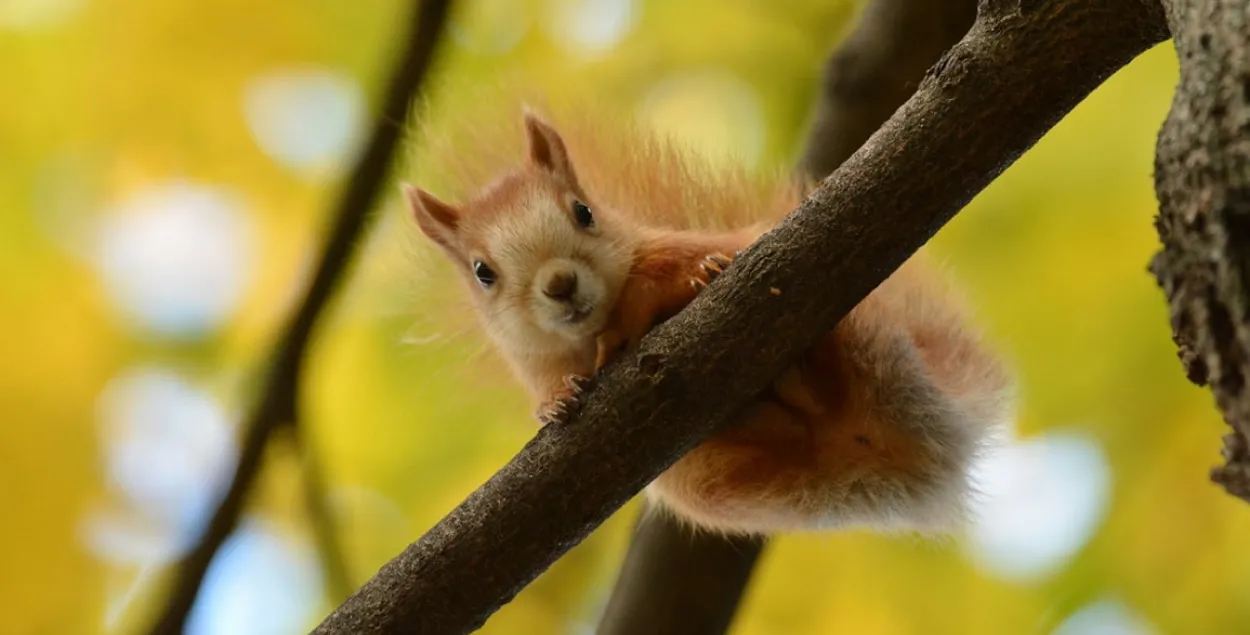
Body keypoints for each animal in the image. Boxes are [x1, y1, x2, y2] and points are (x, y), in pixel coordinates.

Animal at [402, 106, 1015, 532]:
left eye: (584, 212)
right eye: (483, 272)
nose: (559, 284)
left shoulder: (669, 248)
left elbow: (671, 271)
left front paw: (694, 279)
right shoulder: (537, 360)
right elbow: (556, 383)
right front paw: (555, 403)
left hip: (860, 323)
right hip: (705, 486)